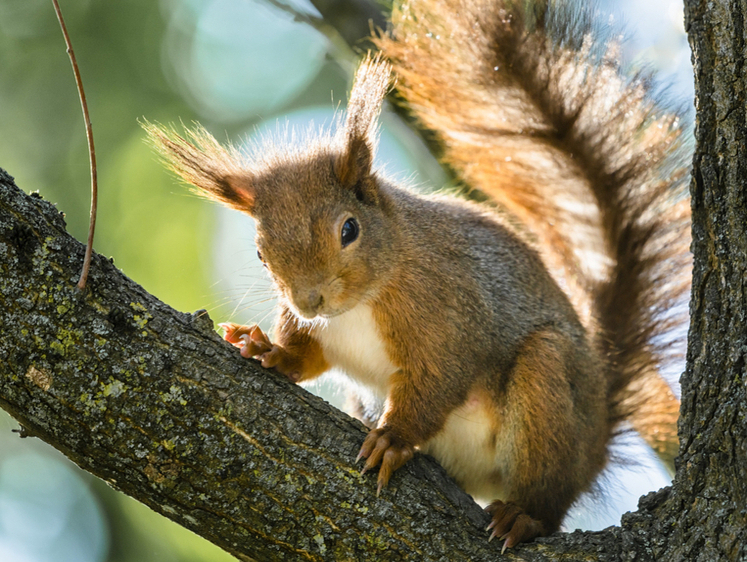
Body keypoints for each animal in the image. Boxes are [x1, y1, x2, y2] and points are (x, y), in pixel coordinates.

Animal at [143, 0, 692, 548]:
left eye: (349, 229)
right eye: (259, 253)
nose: (308, 301)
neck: (362, 302)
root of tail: (598, 436)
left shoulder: (445, 315)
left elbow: (437, 382)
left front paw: (393, 439)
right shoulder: (324, 332)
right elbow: (308, 355)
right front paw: (270, 350)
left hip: (549, 391)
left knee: (550, 494)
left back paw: (523, 516)